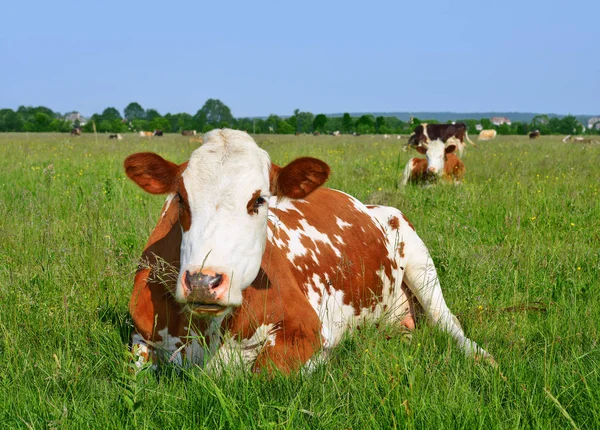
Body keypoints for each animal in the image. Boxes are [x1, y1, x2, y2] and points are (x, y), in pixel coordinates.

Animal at [123, 127, 492, 372]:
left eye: (260, 199)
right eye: (180, 198)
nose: (203, 281)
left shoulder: (308, 330)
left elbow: (265, 372)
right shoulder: (140, 335)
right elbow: (137, 366)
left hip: (420, 262)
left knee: (447, 321)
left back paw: (482, 357)